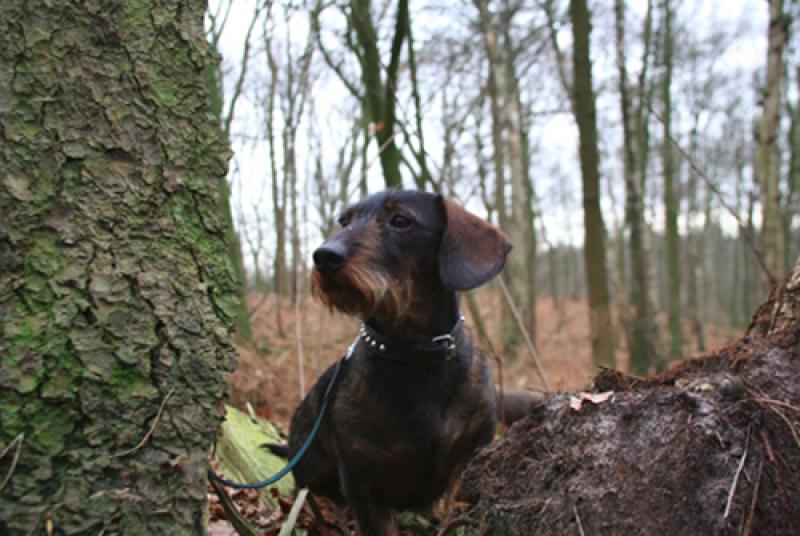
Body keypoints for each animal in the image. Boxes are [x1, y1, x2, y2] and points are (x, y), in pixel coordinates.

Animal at [288, 191, 512, 532]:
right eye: (344, 220)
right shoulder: (361, 481)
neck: (412, 357)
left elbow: (453, 488)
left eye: (401, 221)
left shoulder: (475, 443)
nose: (324, 256)